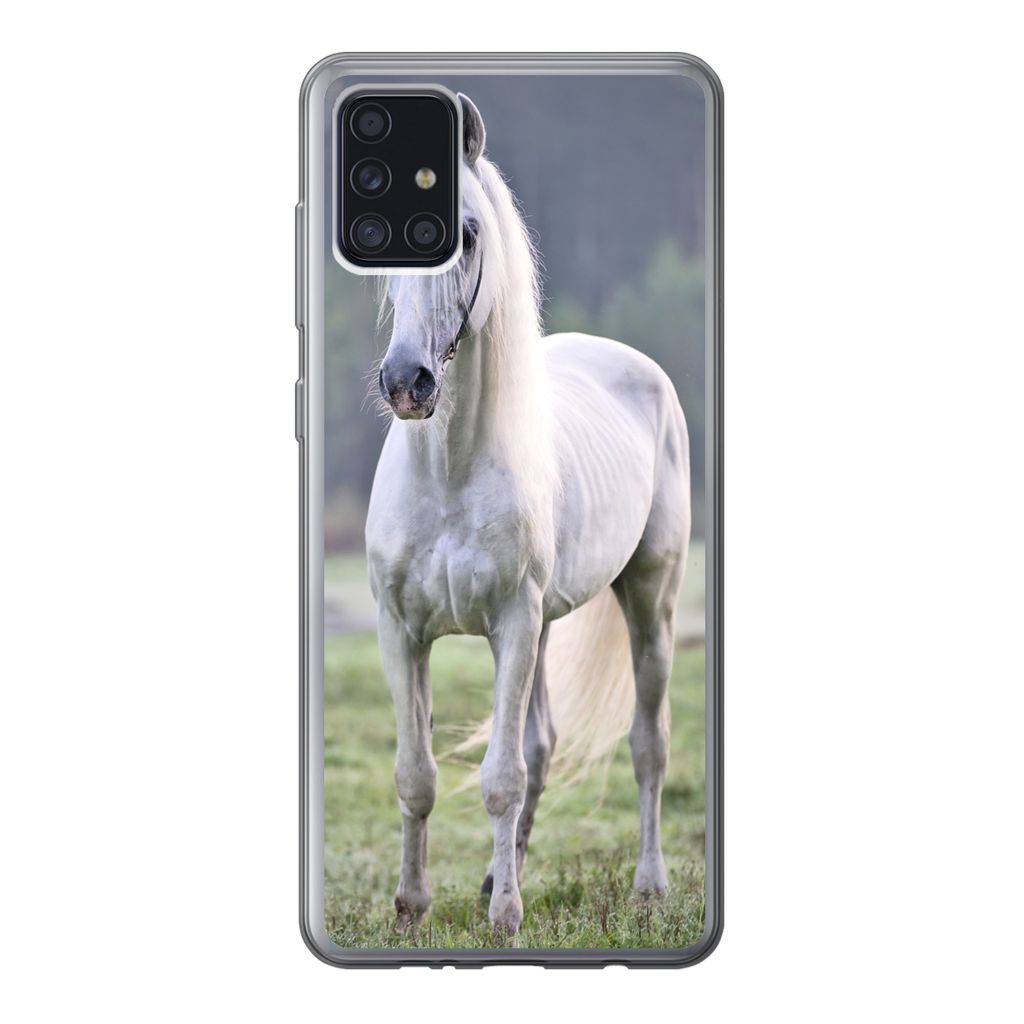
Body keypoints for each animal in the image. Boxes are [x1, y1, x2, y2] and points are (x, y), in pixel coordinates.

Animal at [365, 93, 691, 935]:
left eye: (469, 234)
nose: (406, 381)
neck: (447, 475)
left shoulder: (511, 623)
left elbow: (501, 778)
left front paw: (506, 918)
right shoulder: (402, 631)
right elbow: (416, 775)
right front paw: (411, 906)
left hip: (648, 599)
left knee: (647, 744)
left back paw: (647, 886)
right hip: (545, 625)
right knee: (542, 744)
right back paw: (492, 876)